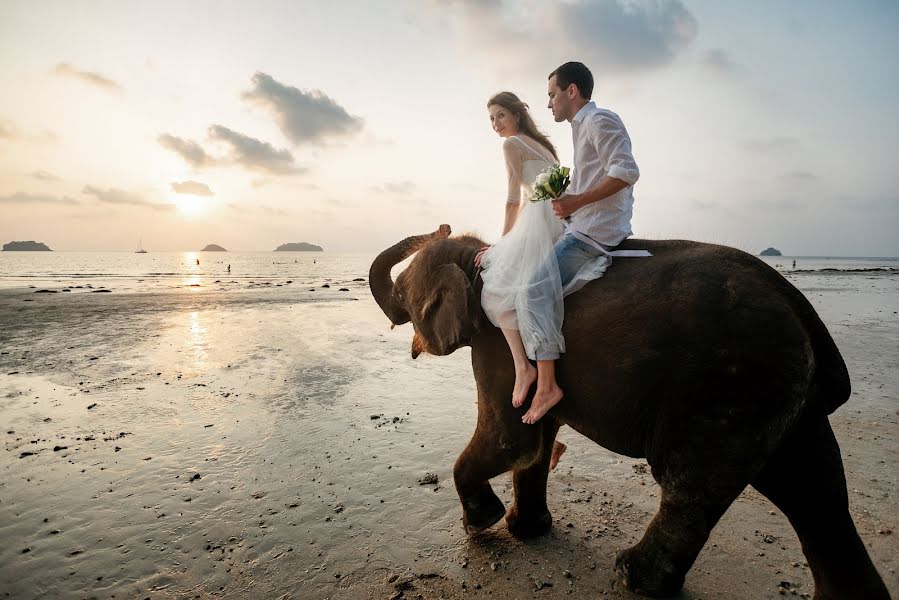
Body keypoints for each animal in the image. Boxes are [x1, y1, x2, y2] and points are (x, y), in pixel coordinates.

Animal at [370, 226, 888, 600]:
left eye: (404, 293)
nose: (438, 225)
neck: (481, 253)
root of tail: (803, 314)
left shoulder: (499, 340)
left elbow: (509, 439)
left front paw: (483, 523)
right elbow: (535, 440)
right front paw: (525, 531)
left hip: (725, 386)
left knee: (691, 485)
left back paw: (631, 578)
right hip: (778, 393)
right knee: (815, 490)